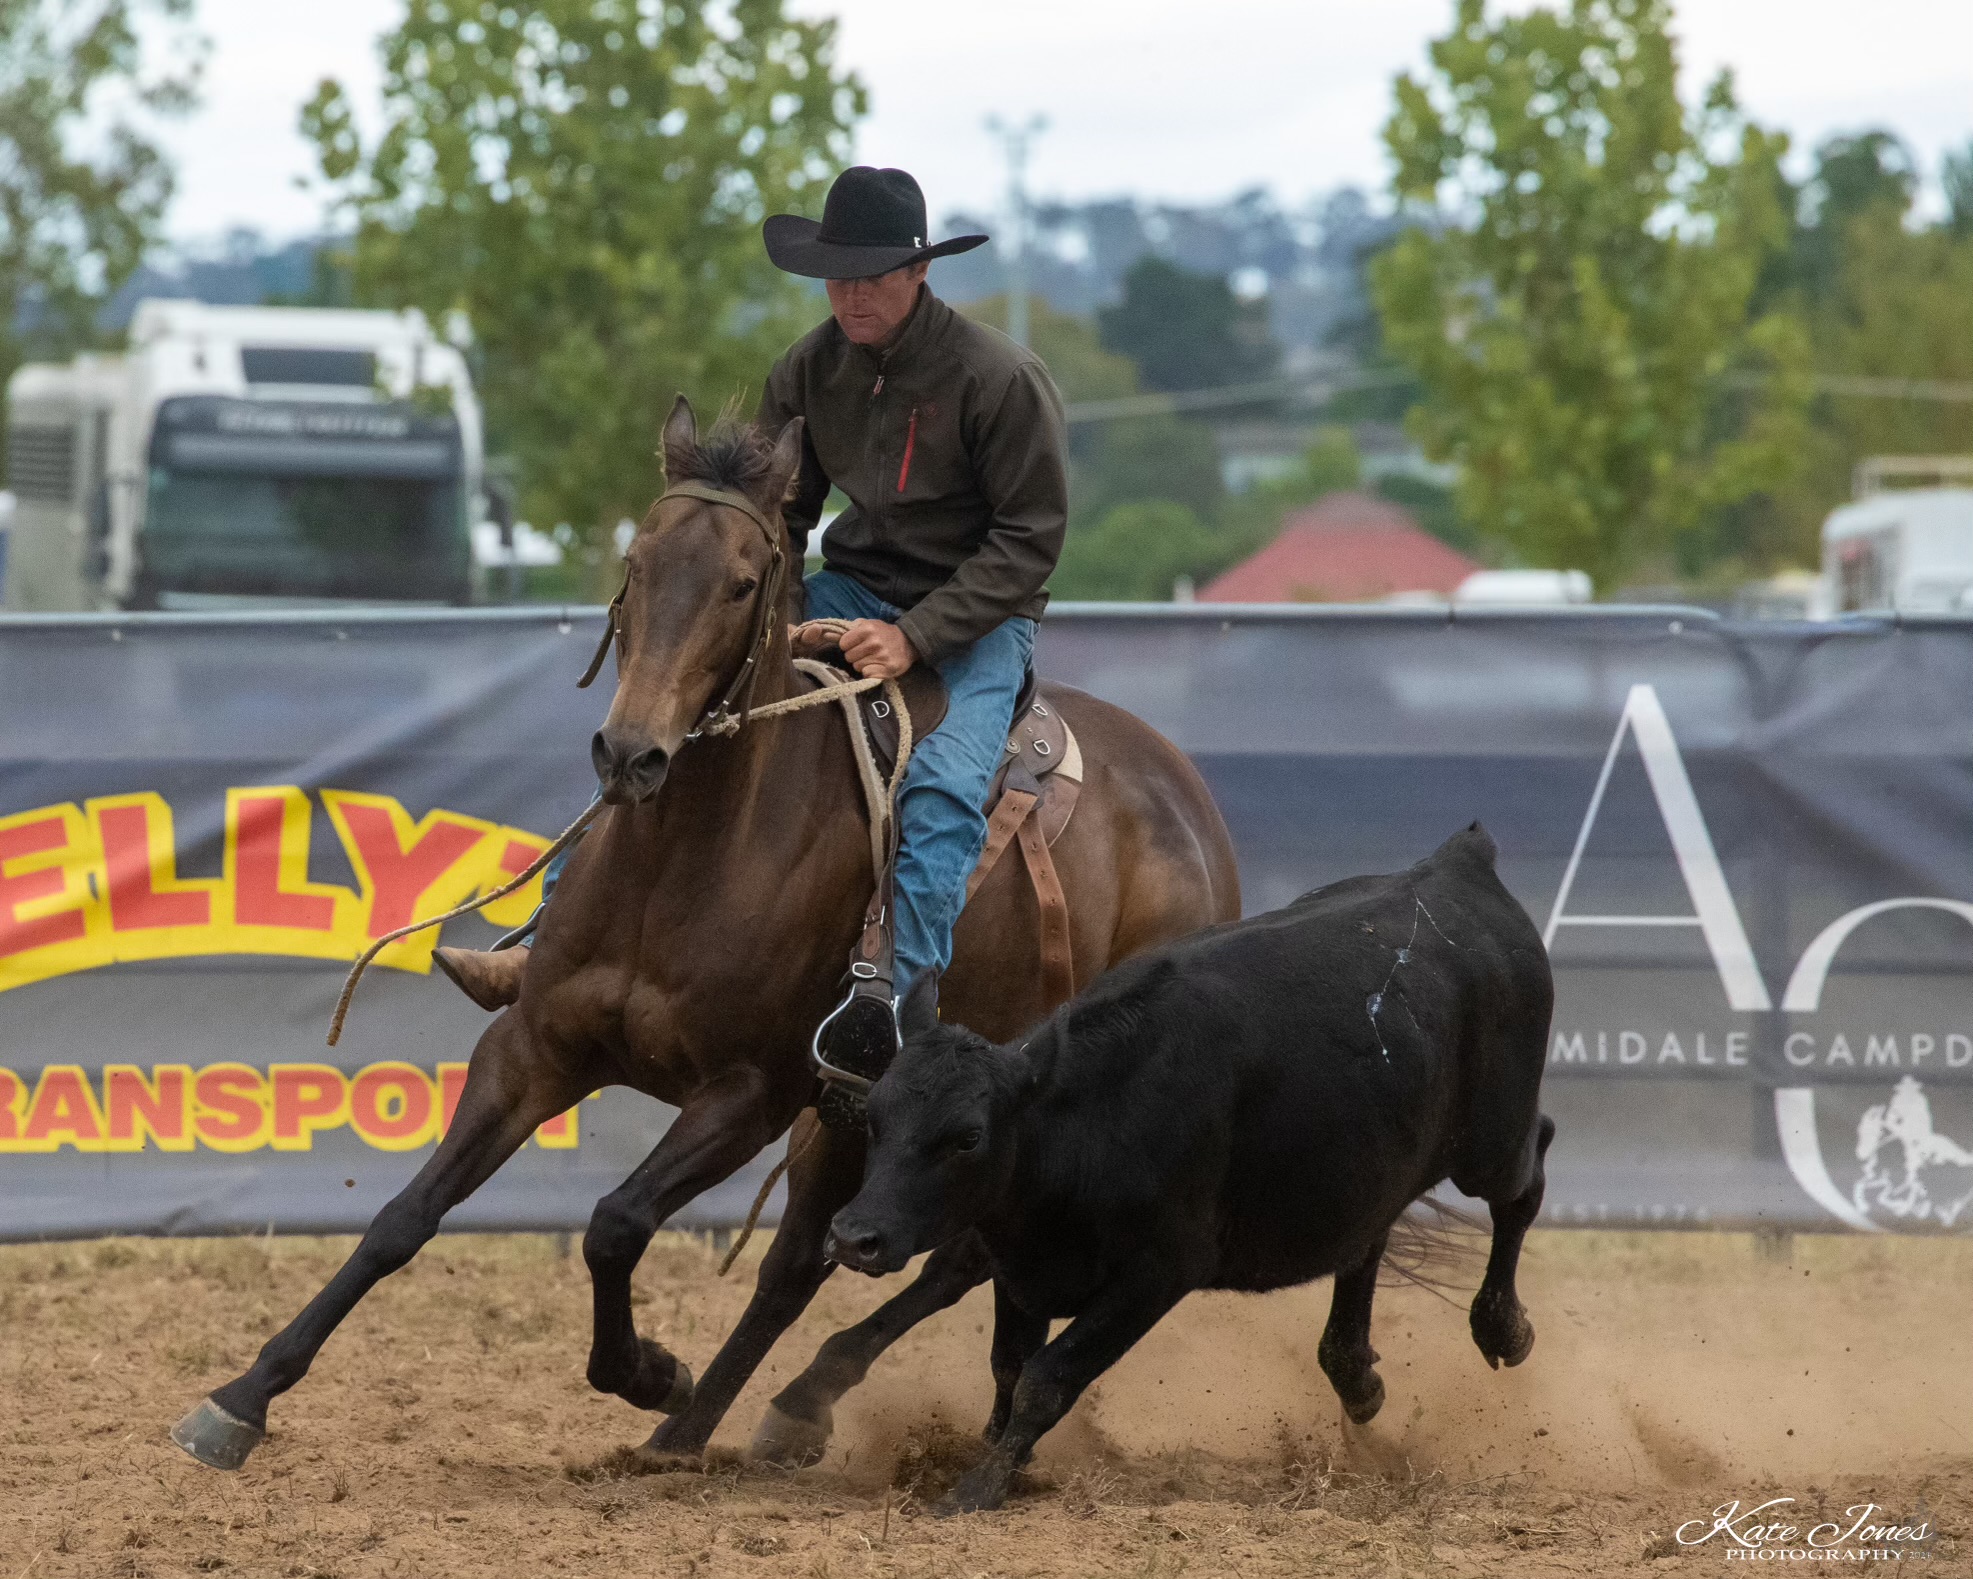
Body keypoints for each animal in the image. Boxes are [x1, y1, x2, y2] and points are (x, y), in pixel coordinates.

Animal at [171, 397, 1241, 1472]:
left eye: (738, 582)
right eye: (637, 561)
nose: (630, 753)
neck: (687, 863)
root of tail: (1192, 813)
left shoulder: (748, 1093)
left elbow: (615, 1223)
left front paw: (646, 1370)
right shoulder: (533, 1046)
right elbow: (404, 1218)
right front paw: (242, 1396)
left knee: (953, 1253)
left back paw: (756, 1407)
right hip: (853, 1116)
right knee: (806, 1261)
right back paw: (726, 1425)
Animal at [825, 824, 1556, 1514]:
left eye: (968, 1136)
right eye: (875, 1114)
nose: (854, 1236)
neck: (1088, 1116)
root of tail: (1456, 866)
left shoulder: (1159, 1272)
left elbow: (1045, 1377)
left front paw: (977, 1486)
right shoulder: (1021, 1266)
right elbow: (1008, 1366)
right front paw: (998, 1461)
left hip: (1491, 1146)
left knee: (1526, 1177)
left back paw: (1502, 1326)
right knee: (1368, 1239)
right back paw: (1356, 1376)